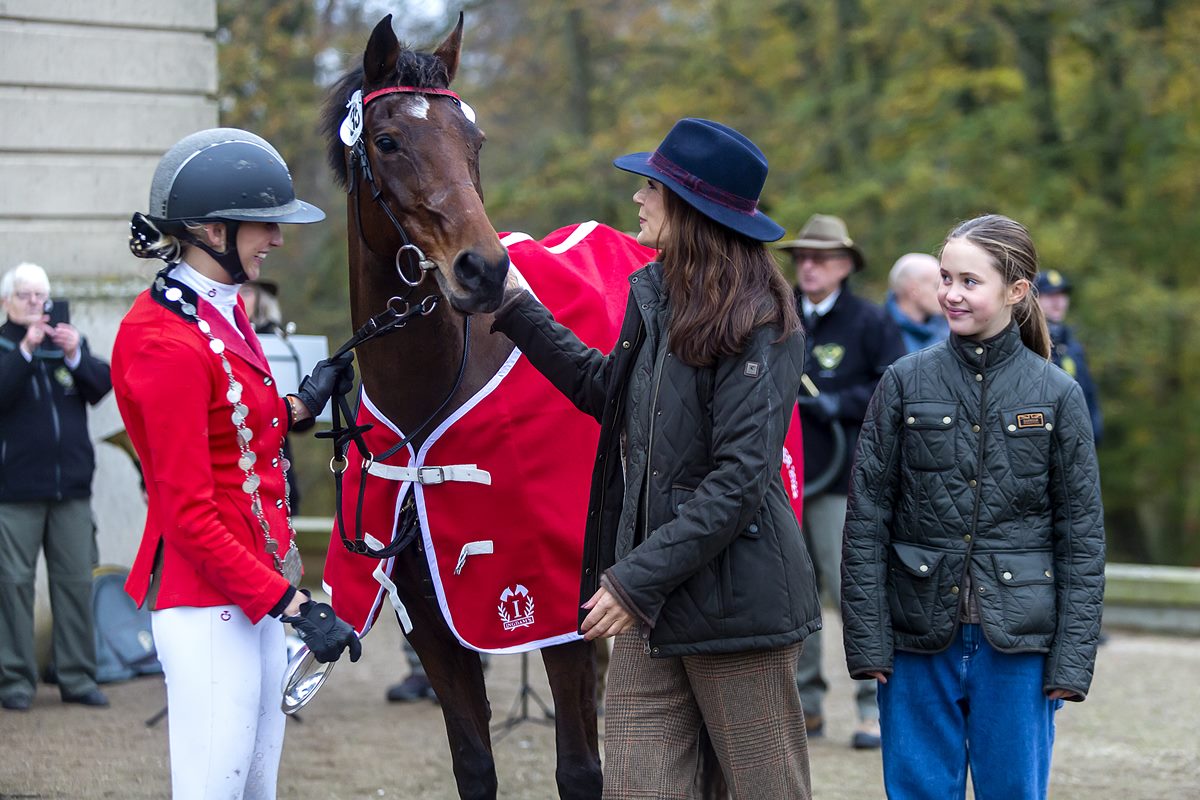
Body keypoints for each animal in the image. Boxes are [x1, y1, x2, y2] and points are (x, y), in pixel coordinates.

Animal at [319, 12, 600, 800]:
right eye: (387, 141)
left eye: (473, 141)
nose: (483, 268)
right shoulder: (431, 624)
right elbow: (474, 764)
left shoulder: (560, 618)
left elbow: (580, 771)